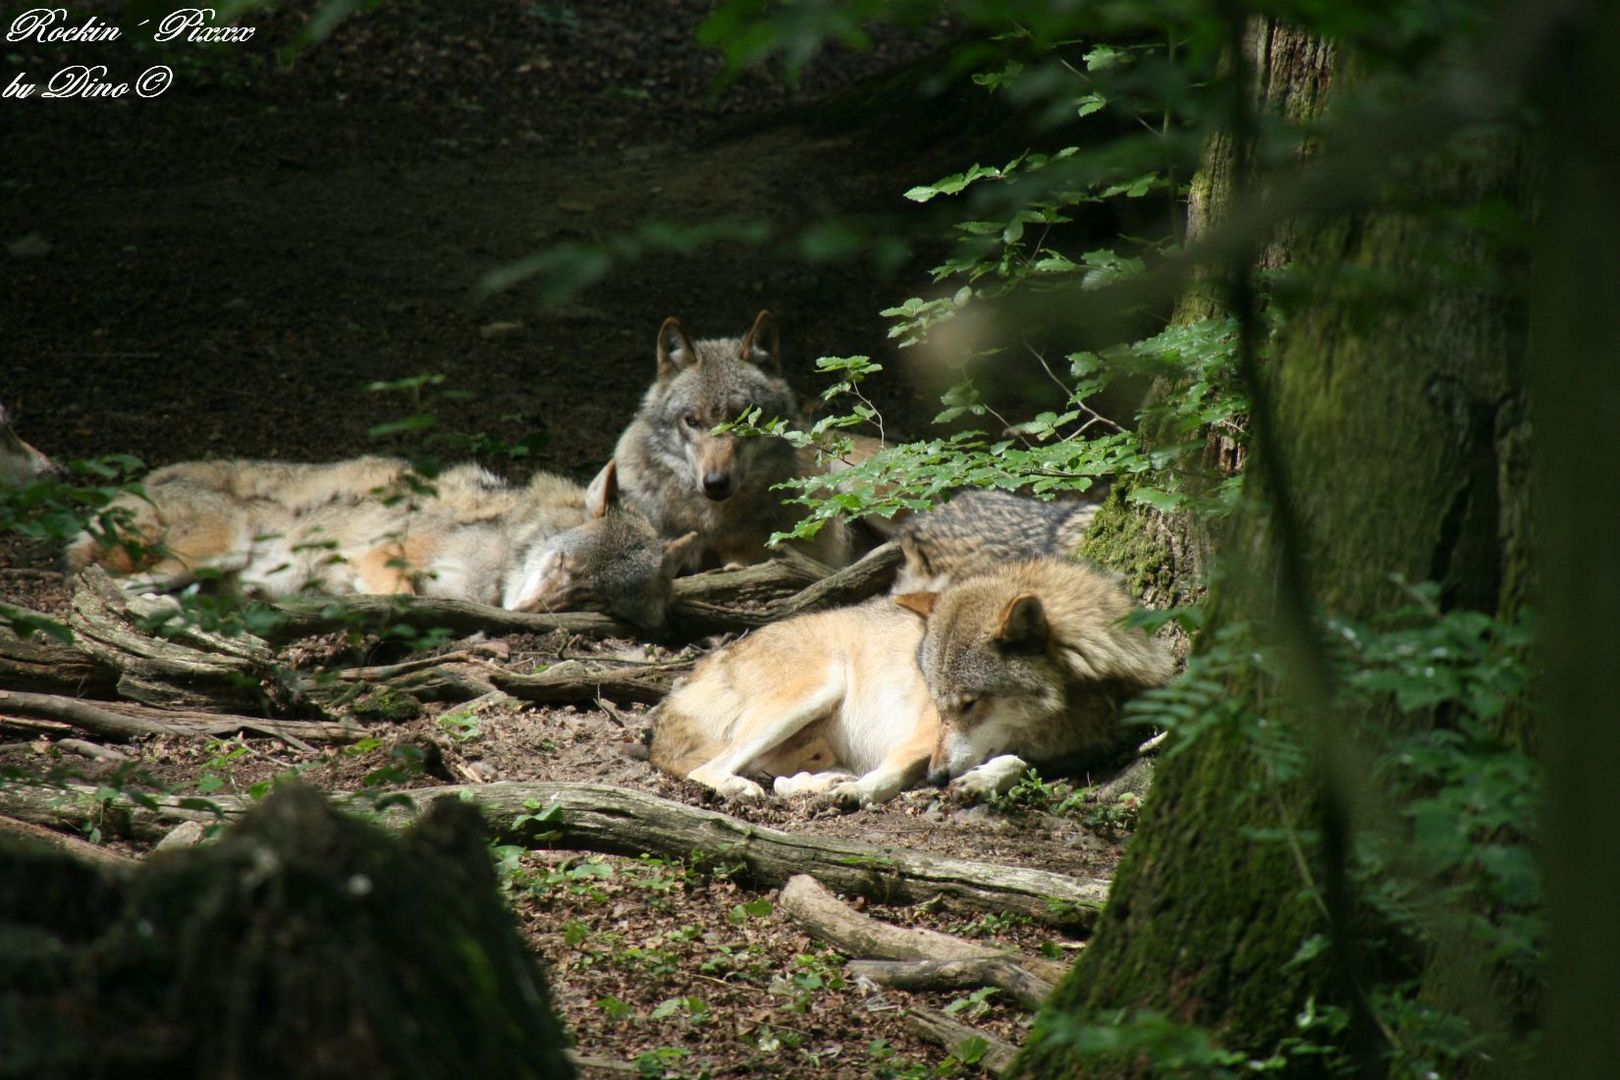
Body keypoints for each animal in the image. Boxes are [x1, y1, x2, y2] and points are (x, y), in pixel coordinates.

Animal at [68, 453, 696, 628]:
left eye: (589, 598)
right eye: (562, 563)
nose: (526, 613)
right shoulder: (382, 553)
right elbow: (404, 595)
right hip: (216, 547)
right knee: (91, 581)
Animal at [648, 557, 1179, 803]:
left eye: (969, 703)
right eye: (940, 704)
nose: (938, 778)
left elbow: (1017, 763)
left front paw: (981, 781)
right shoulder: (923, 736)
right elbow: (894, 768)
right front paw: (865, 793)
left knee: (777, 777)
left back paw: (819, 782)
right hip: (814, 692)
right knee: (708, 770)